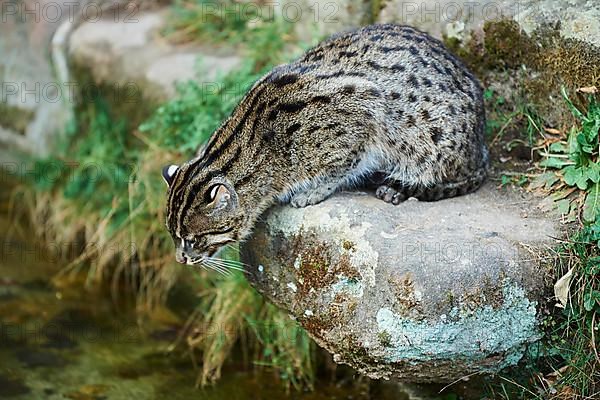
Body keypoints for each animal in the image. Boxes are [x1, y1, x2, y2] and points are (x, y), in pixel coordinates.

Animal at [161, 23, 488, 264]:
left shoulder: (365, 108)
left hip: (429, 142)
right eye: (173, 236)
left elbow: (342, 166)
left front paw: (315, 190)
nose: (180, 259)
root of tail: (482, 145)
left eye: (194, 239)